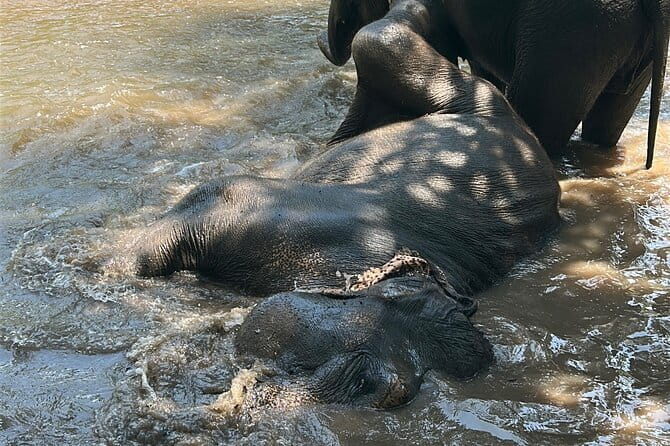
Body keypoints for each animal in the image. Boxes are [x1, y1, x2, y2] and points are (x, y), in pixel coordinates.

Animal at [137, 8, 560, 407]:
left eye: (388, 389)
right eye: (405, 293)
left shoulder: (255, 212)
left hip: (478, 99)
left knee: (374, 42)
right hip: (482, 105)